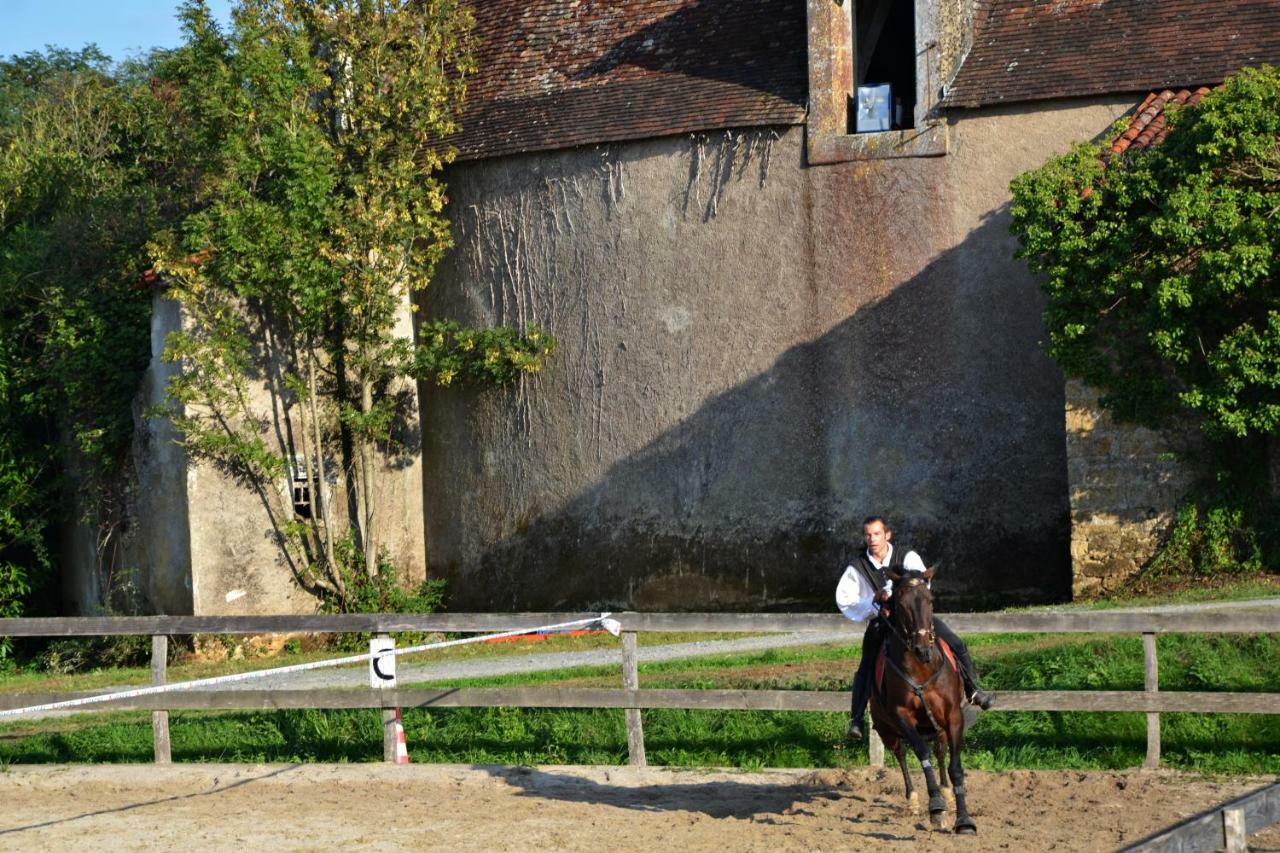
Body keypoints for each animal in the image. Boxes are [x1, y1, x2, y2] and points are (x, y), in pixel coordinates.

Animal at [870, 563, 977, 829]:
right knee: (901, 755)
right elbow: (921, 753)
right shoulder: (902, 716)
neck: (922, 668)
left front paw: (963, 818)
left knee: (940, 751)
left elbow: (955, 767)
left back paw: (947, 793)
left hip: (937, 725)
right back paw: (914, 800)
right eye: (901, 603)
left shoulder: (953, 716)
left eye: (929, 600)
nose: (922, 649)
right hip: (887, 730)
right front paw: (935, 805)